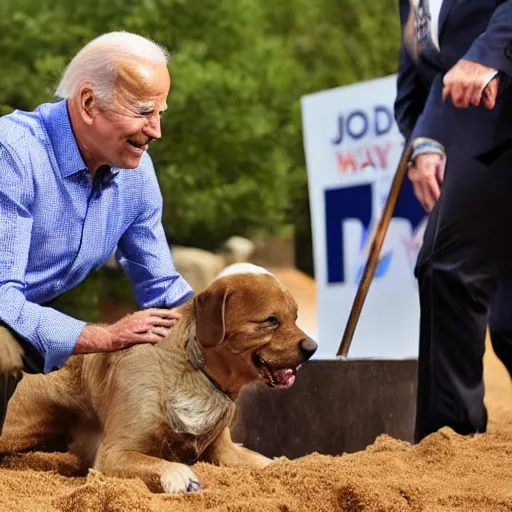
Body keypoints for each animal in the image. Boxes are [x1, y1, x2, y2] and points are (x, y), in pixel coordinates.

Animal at [0, 268, 316, 492]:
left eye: (295, 317)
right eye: (270, 320)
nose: (312, 347)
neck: (195, 368)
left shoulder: (226, 451)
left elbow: (266, 463)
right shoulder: (113, 453)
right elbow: (160, 462)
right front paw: (180, 475)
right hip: (25, 424)